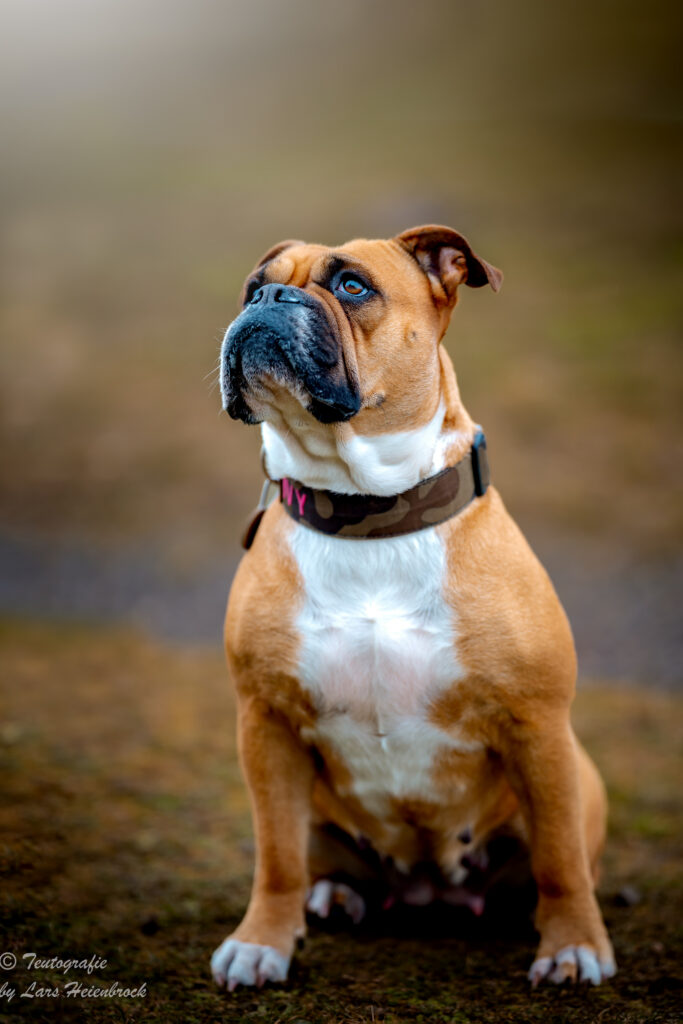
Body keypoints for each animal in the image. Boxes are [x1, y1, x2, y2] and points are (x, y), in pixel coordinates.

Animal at [210, 226, 618, 991]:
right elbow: (275, 855)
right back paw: (335, 895)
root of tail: (430, 891)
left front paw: (573, 945)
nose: (268, 299)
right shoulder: (266, 724)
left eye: (351, 287)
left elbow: (559, 858)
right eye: (252, 288)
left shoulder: (538, 726)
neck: (368, 514)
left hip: (579, 776)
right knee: (315, 860)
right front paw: (261, 942)